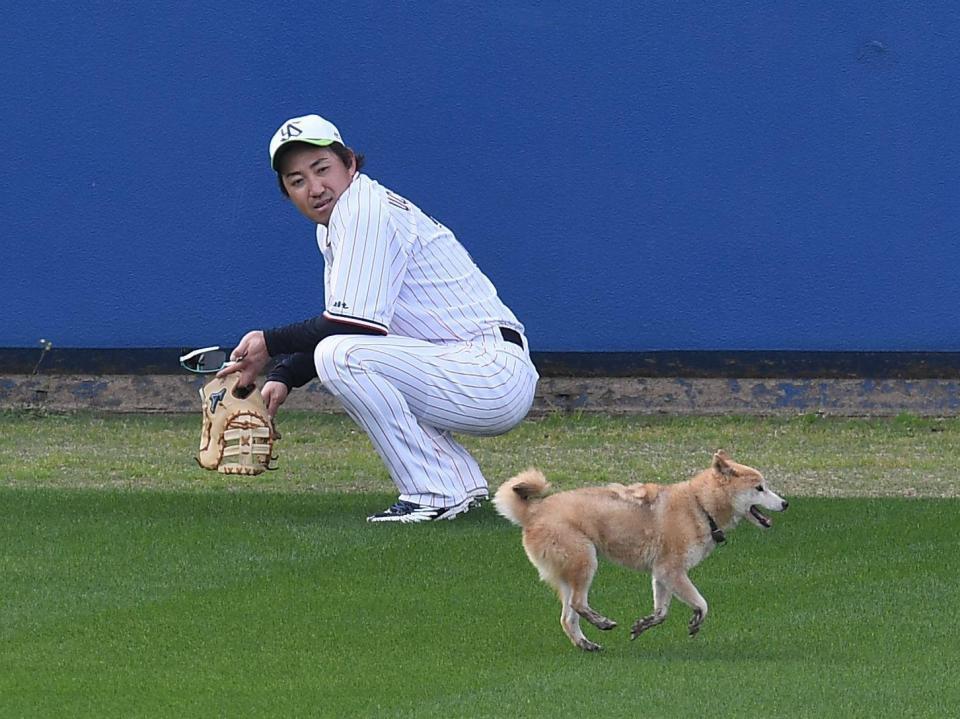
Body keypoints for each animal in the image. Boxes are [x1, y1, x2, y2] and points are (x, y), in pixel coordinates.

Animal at [496, 452, 788, 656]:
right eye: (760, 488)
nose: (786, 503)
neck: (699, 506)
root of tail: (533, 512)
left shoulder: (661, 574)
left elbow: (661, 612)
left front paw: (643, 625)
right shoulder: (672, 571)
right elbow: (702, 603)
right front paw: (695, 620)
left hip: (571, 574)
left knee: (567, 618)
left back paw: (587, 644)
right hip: (586, 562)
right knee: (578, 605)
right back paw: (602, 623)